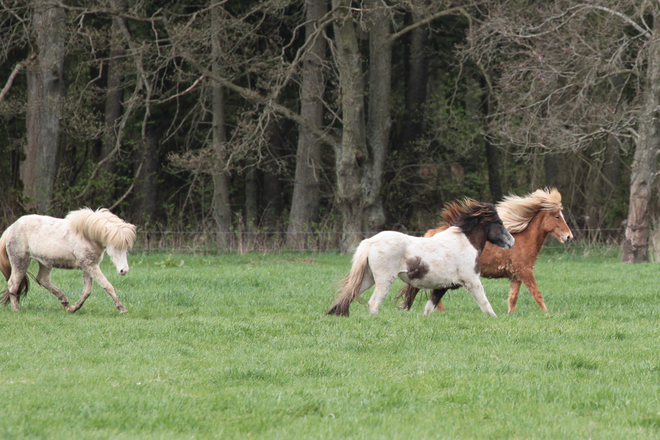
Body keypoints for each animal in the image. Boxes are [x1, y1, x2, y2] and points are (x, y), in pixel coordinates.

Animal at [326, 201, 516, 318]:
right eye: (499, 223)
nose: (512, 242)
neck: (464, 243)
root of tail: (370, 241)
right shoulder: (472, 281)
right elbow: (485, 304)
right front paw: (496, 318)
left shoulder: (442, 287)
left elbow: (429, 308)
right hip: (384, 279)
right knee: (373, 303)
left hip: (368, 278)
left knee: (349, 294)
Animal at [398, 187, 572, 314]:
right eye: (557, 216)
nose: (569, 236)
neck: (524, 241)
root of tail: (429, 234)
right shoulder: (525, 272)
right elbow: (537, 294)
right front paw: (547, 314)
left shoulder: (516, 276)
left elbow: (513, 298)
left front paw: (510, 315)